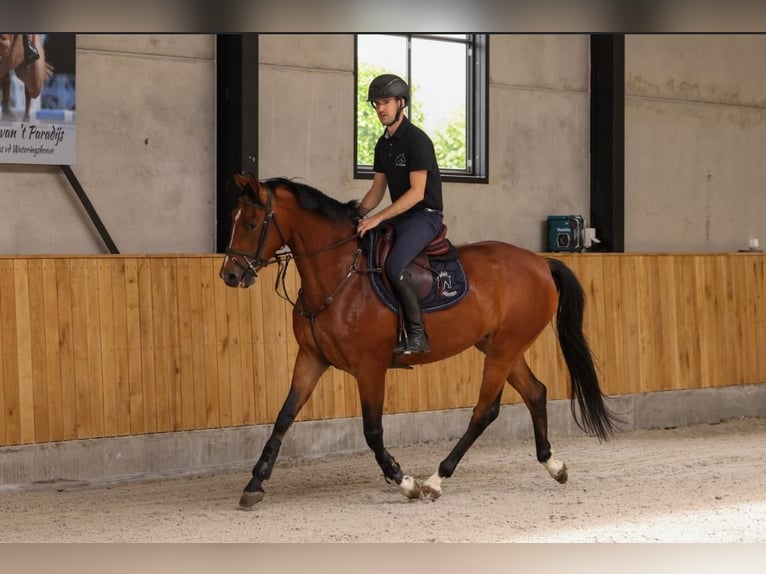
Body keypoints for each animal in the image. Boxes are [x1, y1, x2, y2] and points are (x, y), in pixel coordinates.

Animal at [220, 173, 616, 510]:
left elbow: (372, 430)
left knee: (484, 411)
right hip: (501, 346)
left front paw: (403, 481)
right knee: (535, 392)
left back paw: (436, 479)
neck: (340, 275)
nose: (231, 274)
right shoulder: (310, 358)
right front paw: (255, 484)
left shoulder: (369, 367)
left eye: (251, 224)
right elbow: (284, 417)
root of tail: (540, 263)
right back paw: (553, 465)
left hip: (505, 349)